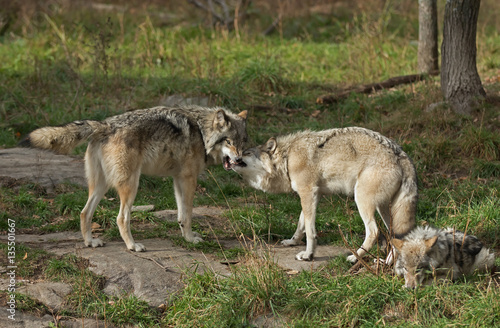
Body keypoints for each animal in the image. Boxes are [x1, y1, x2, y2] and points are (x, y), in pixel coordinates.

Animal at [21, 105, 248, 251]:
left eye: (242, 142)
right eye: (228, 141)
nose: (239, 160)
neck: (201, 132)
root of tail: (105, 125)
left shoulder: (177, 180)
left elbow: (181, 216)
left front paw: (186, 238)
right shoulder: (188, 179)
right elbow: (188, 215)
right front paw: (191, 240)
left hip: (101, 186)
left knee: (84, 213)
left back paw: (90, 242)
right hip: (131, 185)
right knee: (121, 218)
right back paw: (132, 246)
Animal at [230, 127, 418, 262]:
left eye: (246, 153)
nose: (232, 158)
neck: (288, 158)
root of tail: (402, 156)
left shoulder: (308, 192)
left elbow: (310, 230)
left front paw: (308, 255)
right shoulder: (314, 195)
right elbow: (301, 224)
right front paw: (292, 242)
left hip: (362, 201)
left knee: (374, 232)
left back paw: (354, 257)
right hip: (386, 209)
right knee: (395, 236)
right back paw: (387, 263)